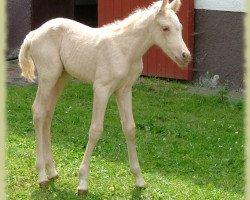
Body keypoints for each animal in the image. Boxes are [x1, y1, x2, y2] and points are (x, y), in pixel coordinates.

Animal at [18, 0, 191, 195]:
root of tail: (34, 33)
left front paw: (139, 180)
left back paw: (52, 172)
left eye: (180, 27)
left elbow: (130, 129)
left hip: (60, 77)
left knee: (48, 114)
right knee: (38, 112)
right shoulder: (101, 88)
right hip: (48, 76)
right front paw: (83, 182)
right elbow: (95, 130)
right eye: (165, 28)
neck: (125, 49)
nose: (185, 56)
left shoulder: (124, 90)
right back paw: (42, 176)